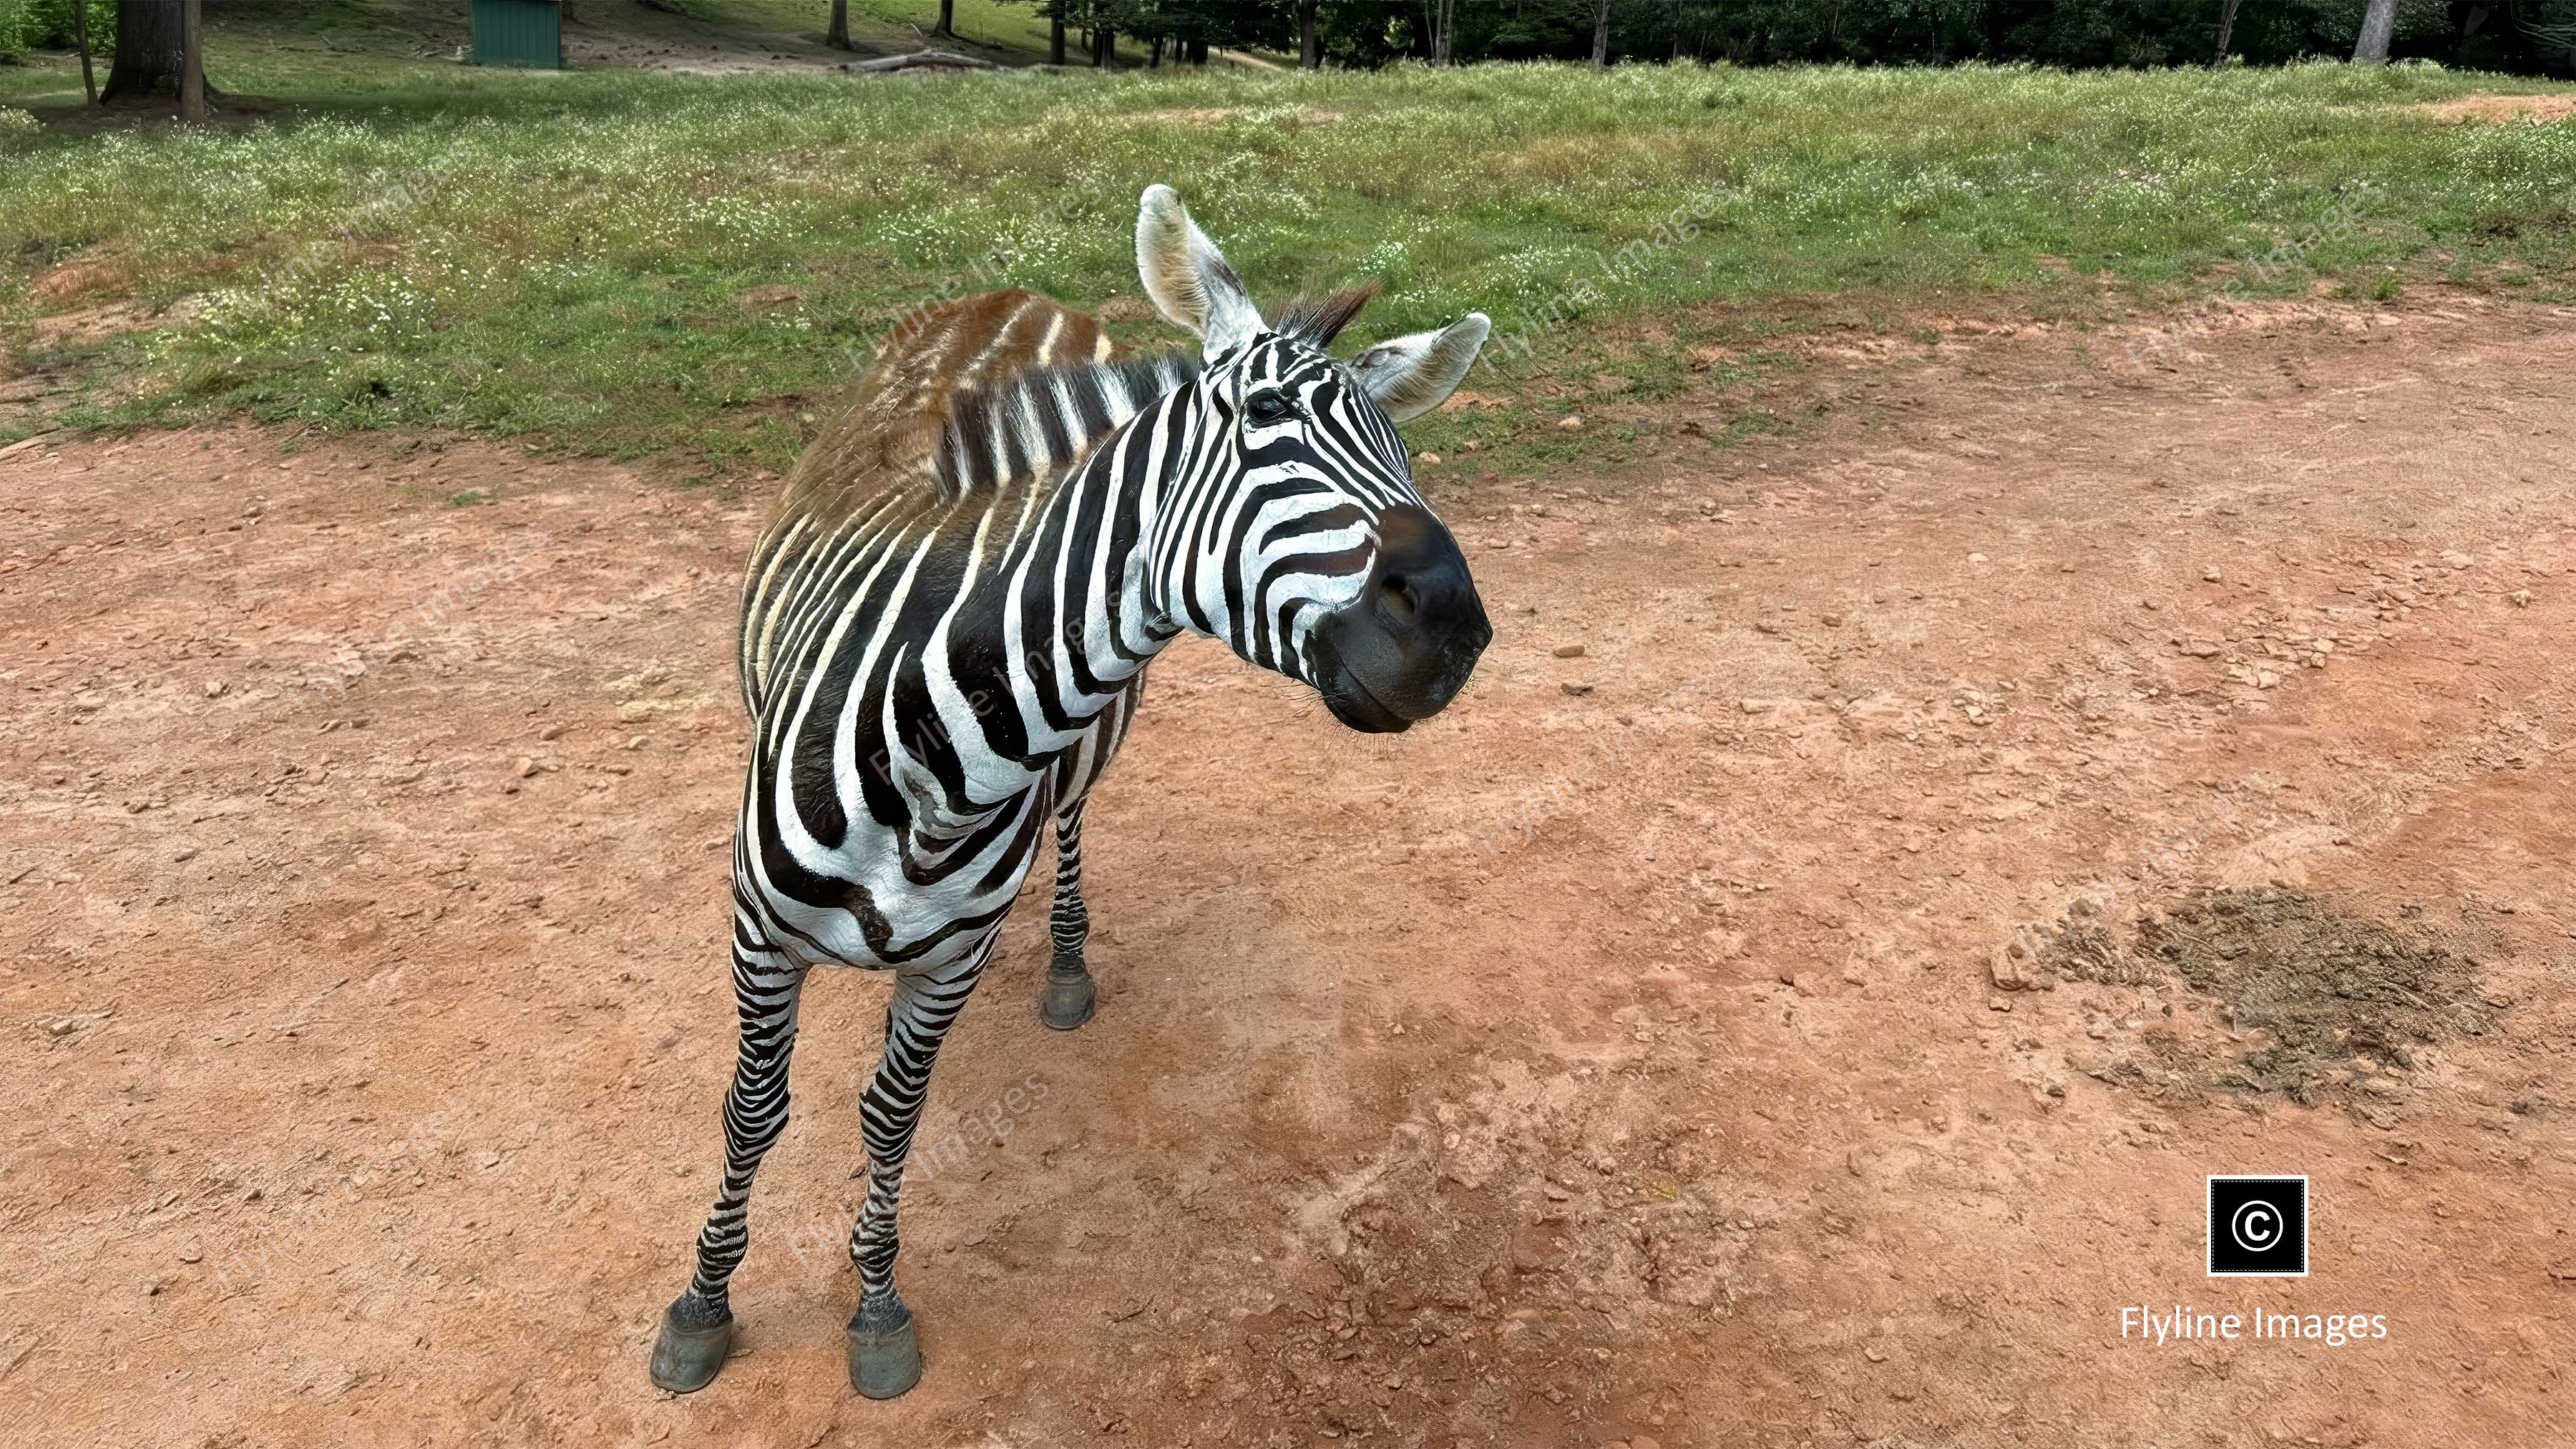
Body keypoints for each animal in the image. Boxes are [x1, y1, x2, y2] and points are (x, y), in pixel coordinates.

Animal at [650, 186, 1493, 1400]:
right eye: (1263, 414)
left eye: (1404, 452)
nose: (1457, 629)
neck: (945, 765)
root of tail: (1019, 293)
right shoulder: (757, 933)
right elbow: (754, 1113)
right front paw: (705, 1301)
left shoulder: (951, 960)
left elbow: (892, 1117)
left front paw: (876, 1306)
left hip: (1101, 738)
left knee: (1075, 819)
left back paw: (1064, 962)